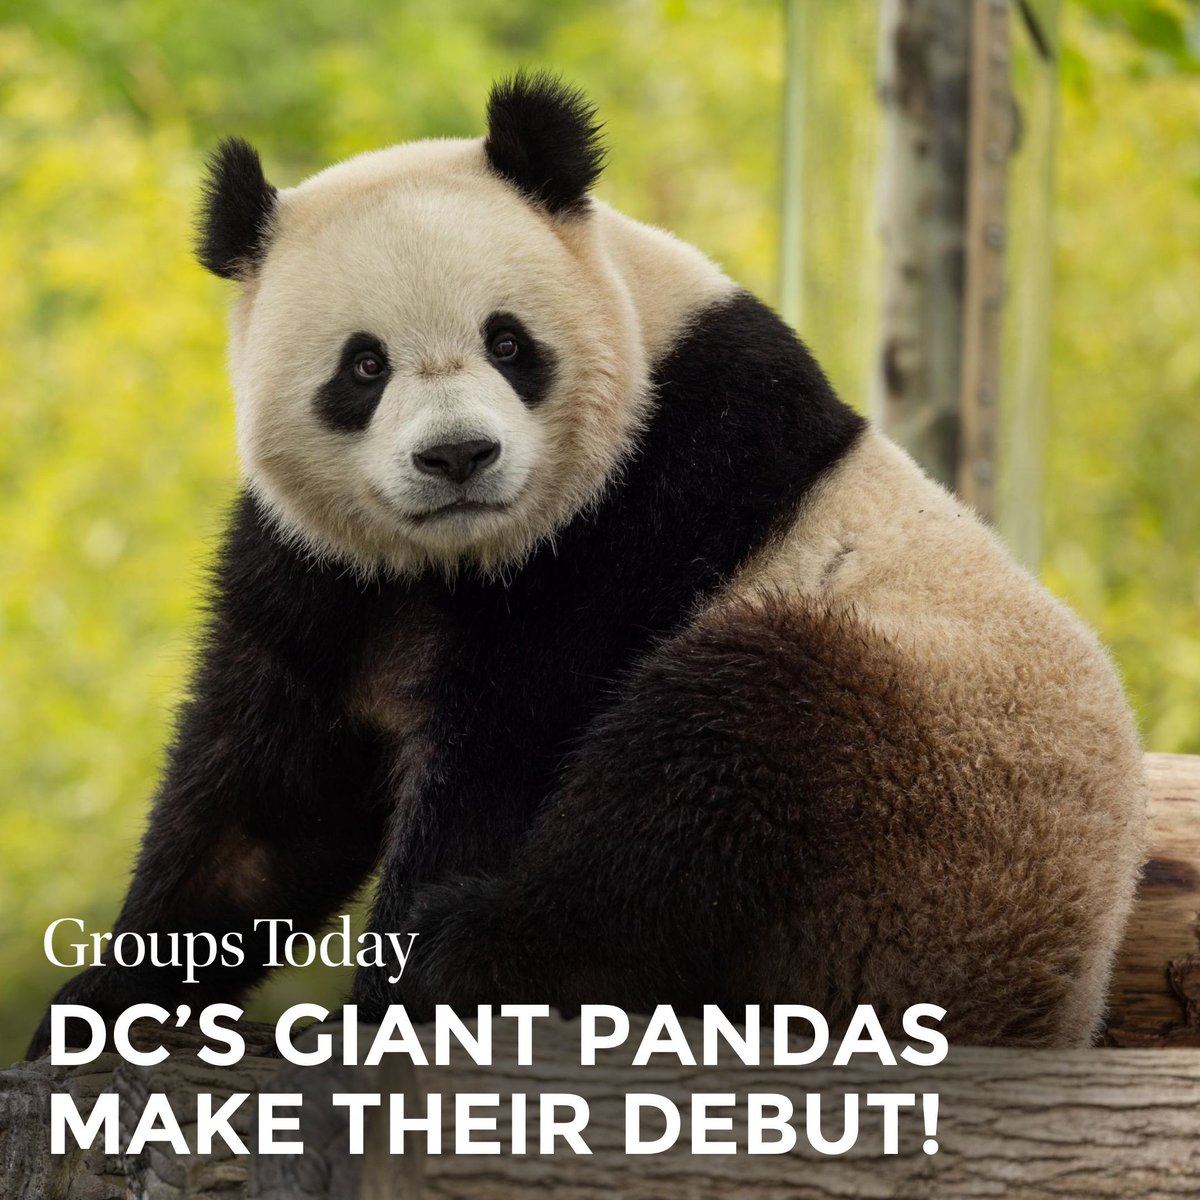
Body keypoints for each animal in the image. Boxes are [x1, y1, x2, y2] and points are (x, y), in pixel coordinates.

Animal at [29, 73, 1146, 1058]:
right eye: (363, 365)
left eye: (508, 343)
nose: (457, 457)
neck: (456, 558)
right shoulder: (326, 568)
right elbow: (267, 793)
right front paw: (102, 1004)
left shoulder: (646, 501)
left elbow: (507, 751)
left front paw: (382, 999)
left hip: (922, 794)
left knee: (714, 766)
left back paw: (473, 953)